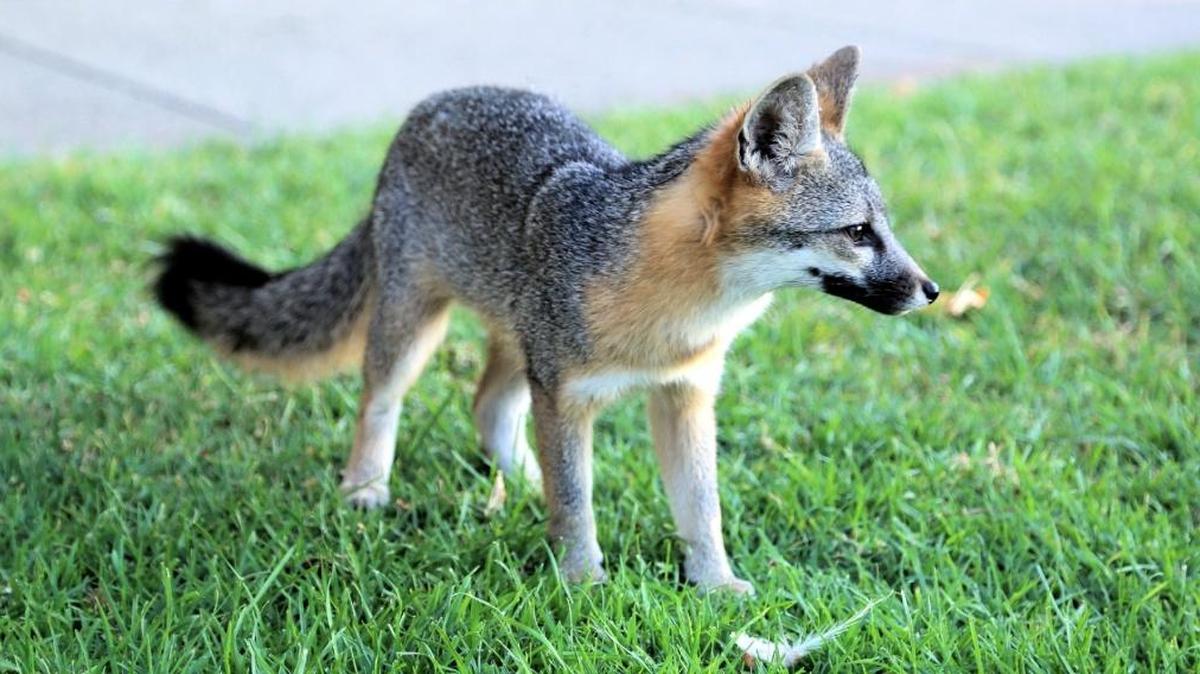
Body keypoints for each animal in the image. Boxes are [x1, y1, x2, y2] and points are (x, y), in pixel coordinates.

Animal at [154, 45, 938, 593]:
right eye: (859, 232)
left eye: (885, 228)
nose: (931, 290)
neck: (672, 314)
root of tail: (432, 104)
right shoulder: (565, 393)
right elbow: (578, 503)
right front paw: (584, 583)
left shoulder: (683, 394)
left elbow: (700, 509)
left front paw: (715, 586)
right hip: (418, 332)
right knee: (381, 400)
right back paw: (367, 488)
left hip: (516, 342)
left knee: (488, 407)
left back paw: (524, 480)